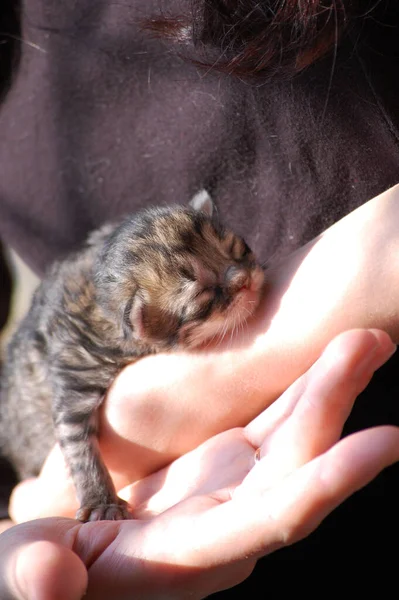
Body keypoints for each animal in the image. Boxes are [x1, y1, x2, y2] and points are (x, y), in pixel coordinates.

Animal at [0, 195, 266, 524]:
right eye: (205, 297)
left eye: (238, 248)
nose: (244, 279)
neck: (101, 301)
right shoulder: (77, 366)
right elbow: (78, 442)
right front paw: (101, 500)